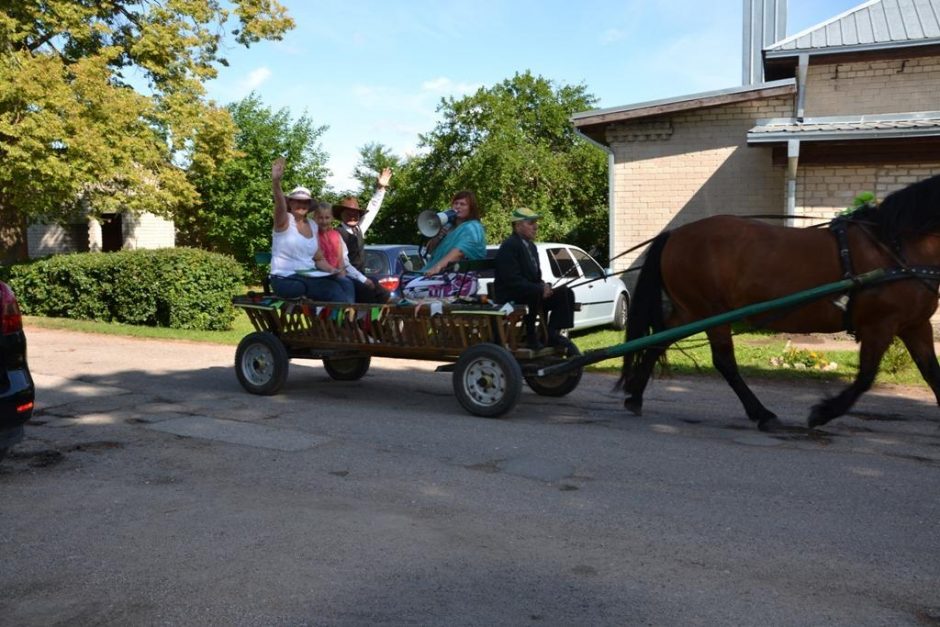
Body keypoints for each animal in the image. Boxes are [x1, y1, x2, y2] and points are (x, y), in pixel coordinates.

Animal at [616, 174, 940, 434]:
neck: (894, 248)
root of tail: (675, 234)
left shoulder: (915, 325)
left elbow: (932, 373)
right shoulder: (880, 325)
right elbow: (865, 378)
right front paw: (822, 413)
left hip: (691, 311)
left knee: (658, 341)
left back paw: (635, 397)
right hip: (712, 312)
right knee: (724, 362)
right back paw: (762, 414)